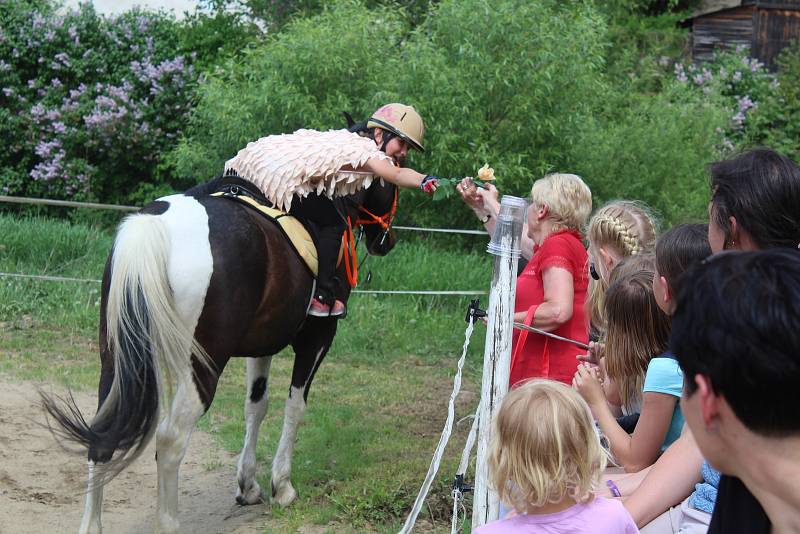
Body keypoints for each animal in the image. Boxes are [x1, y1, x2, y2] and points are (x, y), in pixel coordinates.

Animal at [42, 177, 398, 534]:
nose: (386, 241)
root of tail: (155, 225)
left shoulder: (262, 347)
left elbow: (256, 407)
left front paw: (248, 485)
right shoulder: (317, 339)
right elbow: (295, 407)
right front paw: (281, 485)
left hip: (116, 363)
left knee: (103, 435)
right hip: (202, 368)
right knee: (170, 440)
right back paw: (169, 522)